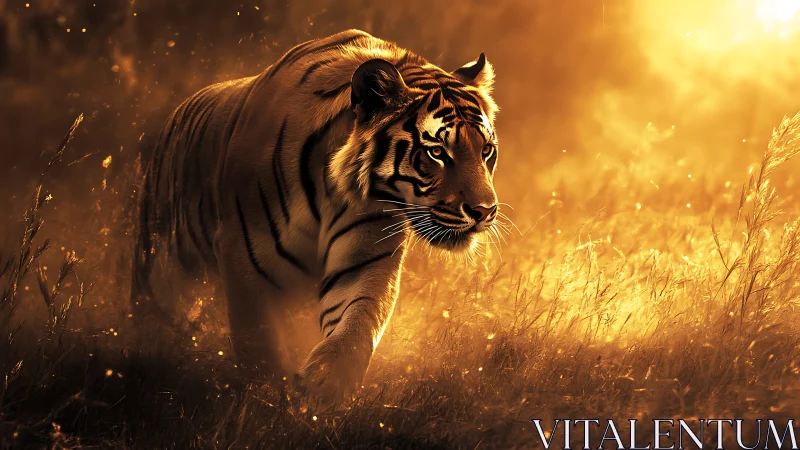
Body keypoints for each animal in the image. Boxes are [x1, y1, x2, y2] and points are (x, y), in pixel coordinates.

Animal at [131, 29, 502, 398]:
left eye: (486, 150)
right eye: (437, 152)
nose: (485, 211)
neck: (335, 187)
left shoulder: (365, 257)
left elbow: (357, 324)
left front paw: (324, 389)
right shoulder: (244, 254)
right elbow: (259, 342)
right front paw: (266, 400)